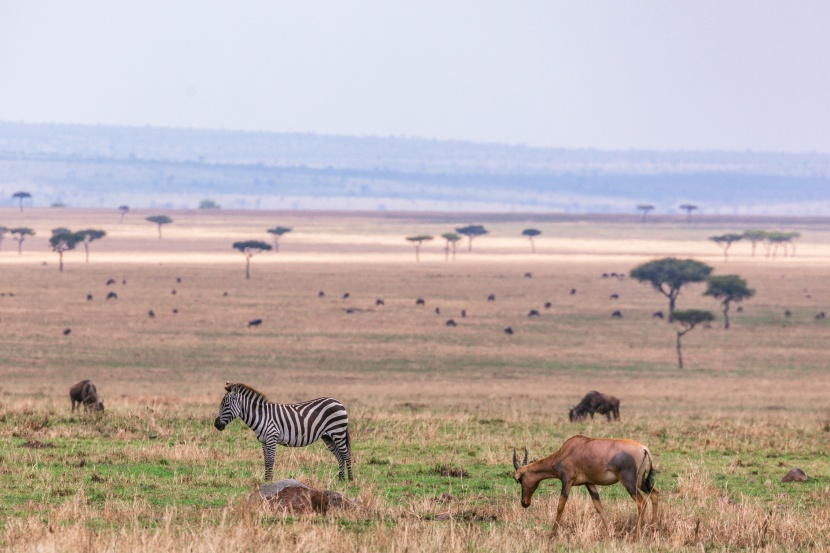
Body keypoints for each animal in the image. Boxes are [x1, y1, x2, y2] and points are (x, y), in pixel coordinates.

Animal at [213, 382, 352, 480]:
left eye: (226, 405)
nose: (216, 424)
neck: (261, 415)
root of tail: (338, 402)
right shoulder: (263, 441)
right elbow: (266, 461)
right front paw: (266, 479)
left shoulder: (272, 437)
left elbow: (271, 460)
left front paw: (269, 479)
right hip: (327, 436)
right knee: (339, 456)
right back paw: (341, 479)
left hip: (338, 432)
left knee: (346, 455)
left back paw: (350, 479)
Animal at [510, 434, 660, 536]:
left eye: (520, 479)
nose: (524, 502)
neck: (568, 449)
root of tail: (643, 448)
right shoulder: (589, 483)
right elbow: (599, 506)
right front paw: (610, 533)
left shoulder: (567, 480)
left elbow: (560, 505)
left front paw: (551, 535)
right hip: (640, 481)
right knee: (654, 493)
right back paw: (653, 529)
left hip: (629, 482)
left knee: (641, 502)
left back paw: (636, 536)